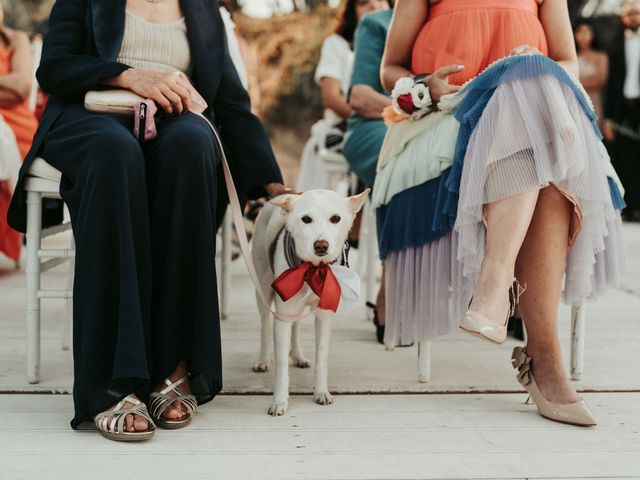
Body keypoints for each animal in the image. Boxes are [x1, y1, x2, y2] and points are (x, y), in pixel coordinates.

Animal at [251, 189, 368, 414]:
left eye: (335, 219)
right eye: (306, 219)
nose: (321, 245)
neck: (313, 270)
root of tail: (281, 194)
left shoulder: (324, 317)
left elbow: (322, 358)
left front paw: (321, 393)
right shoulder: (282, 317)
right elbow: (281, 365)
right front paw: (279, 401)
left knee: (296, 327)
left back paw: (298, 356)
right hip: (263, 289)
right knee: (264, 325)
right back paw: (263, 360)